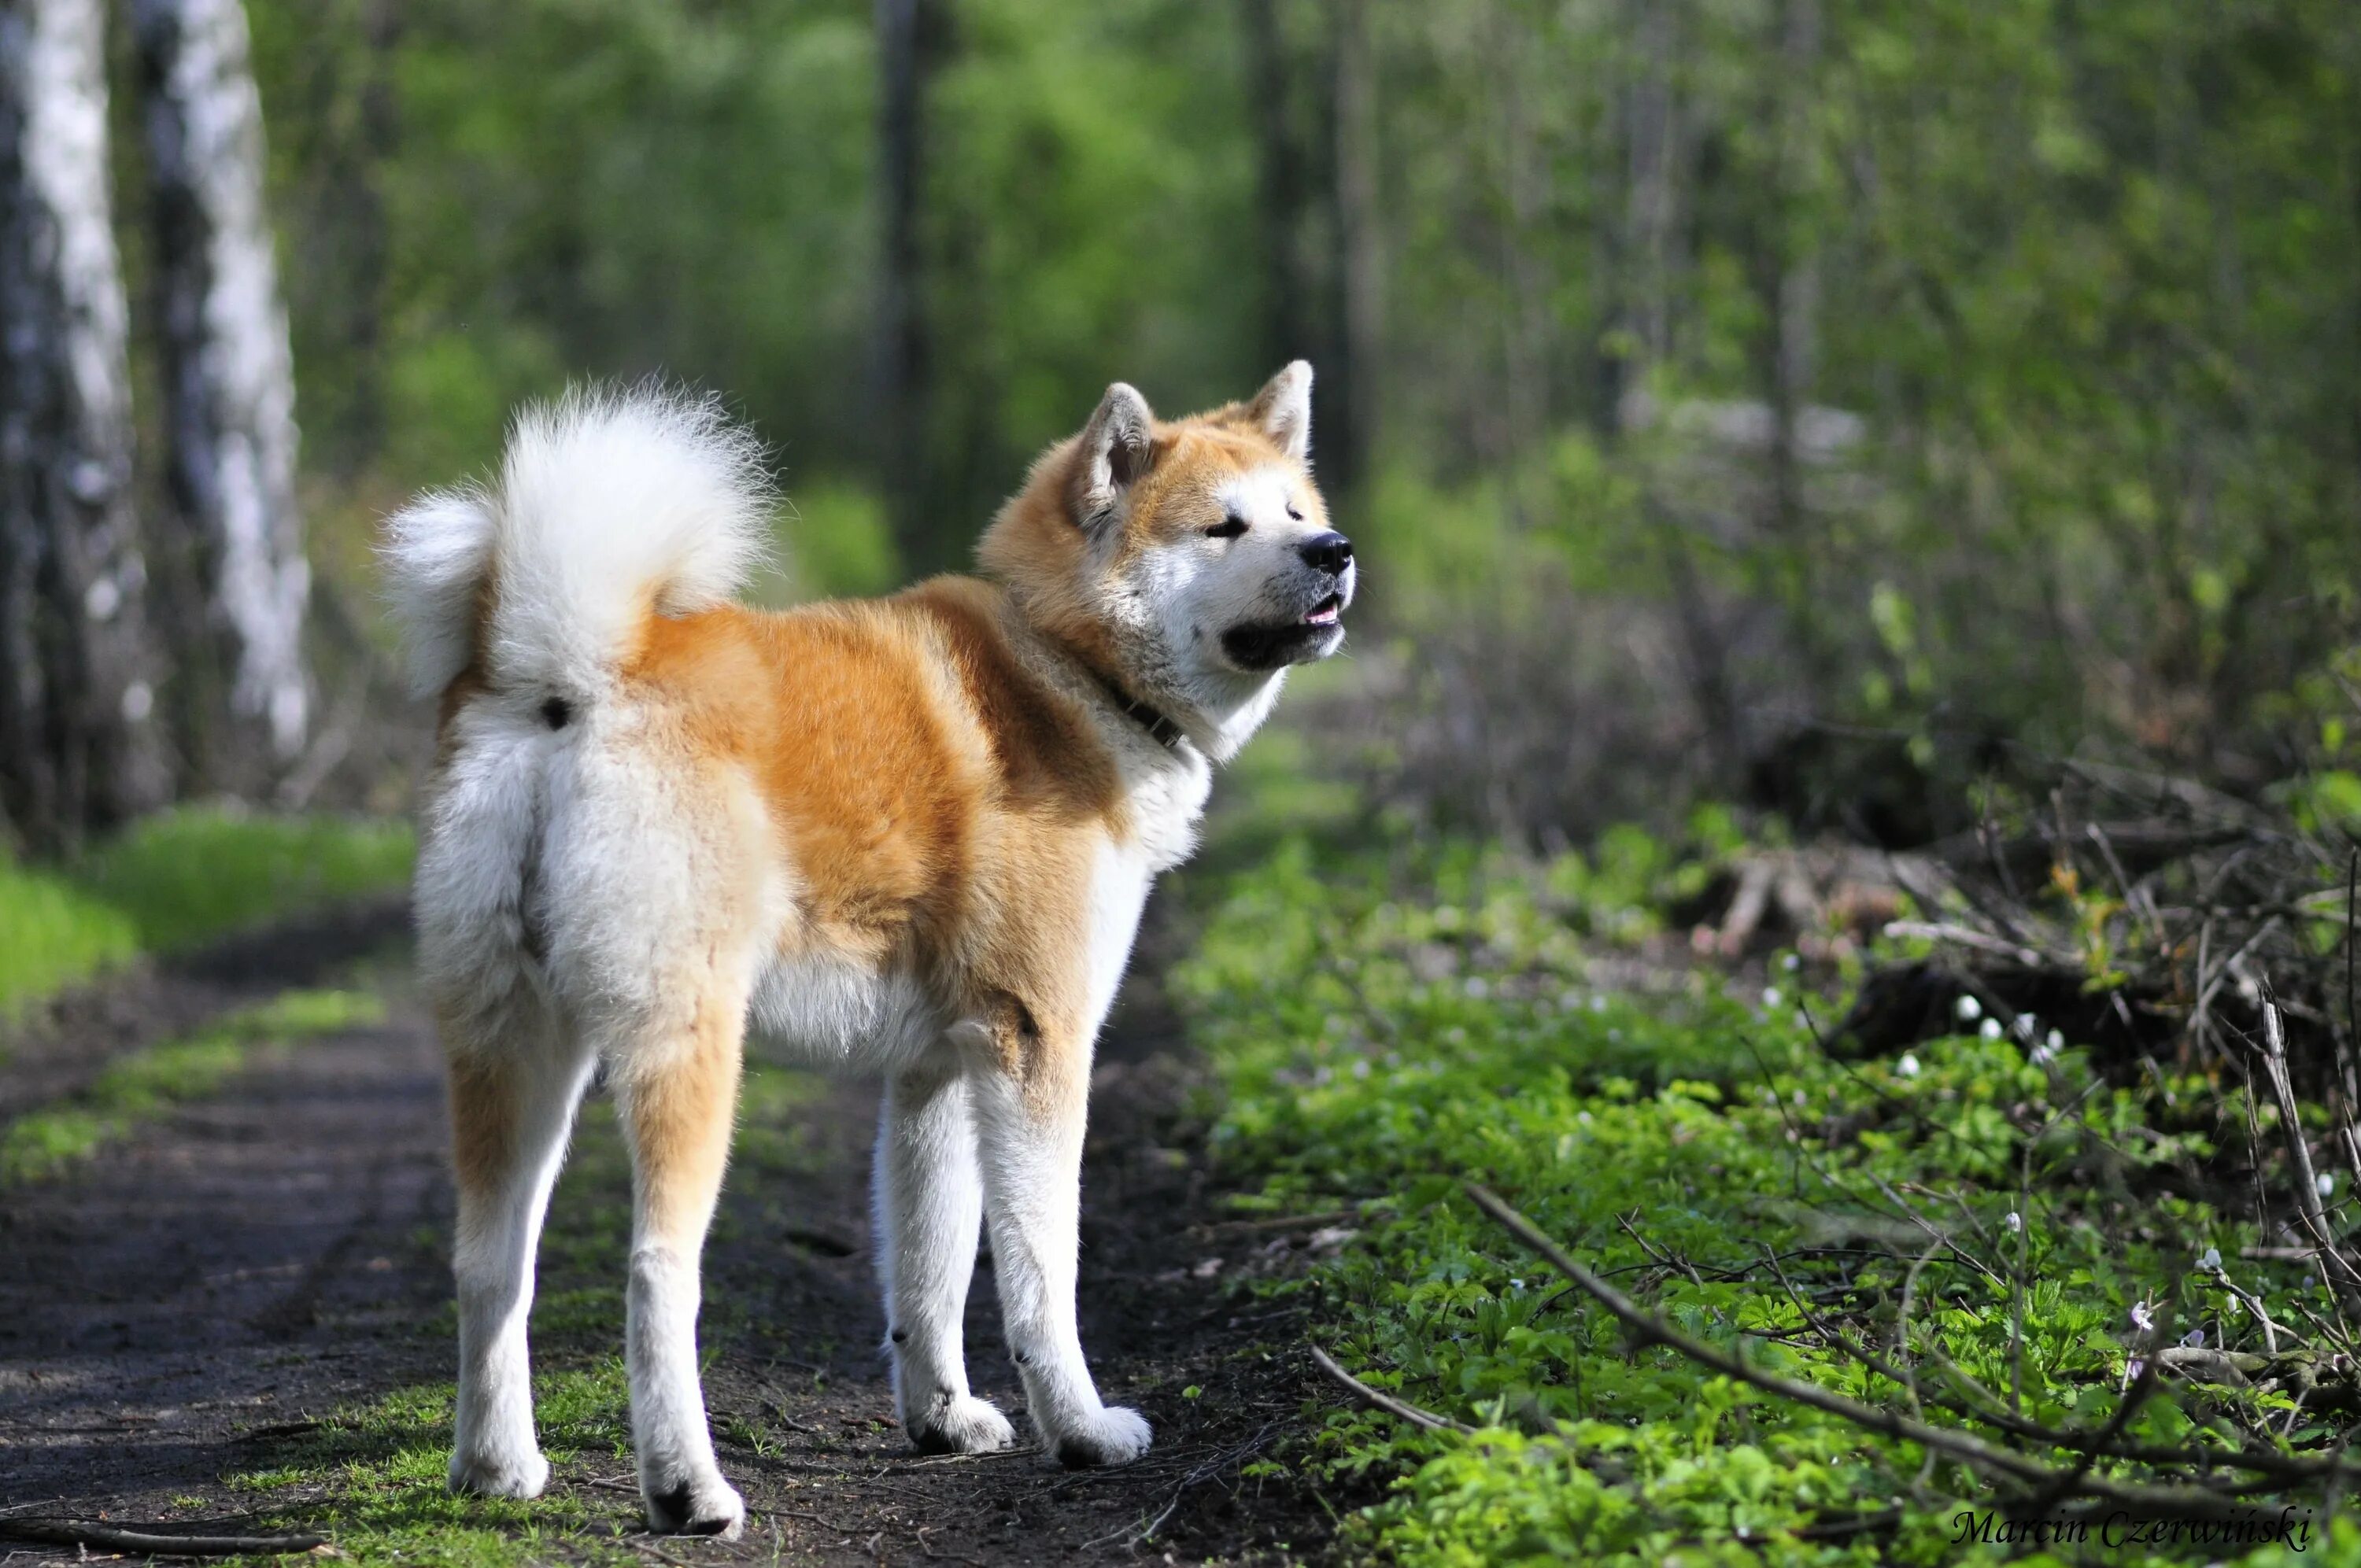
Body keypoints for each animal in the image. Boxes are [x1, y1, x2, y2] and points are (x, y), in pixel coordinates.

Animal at [380, 363, 1360, 1529]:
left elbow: (929, 1267)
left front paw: (942, 1417)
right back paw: (687, 1487)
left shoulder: (935, 1069)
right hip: (688, 1050)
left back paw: (497, 1467)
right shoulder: (1038, 1046)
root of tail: (569, 681)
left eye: (1297, 512)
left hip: (516, 1045)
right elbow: (1042, 1270)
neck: (1061, 666)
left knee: (488, 1263)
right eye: (1224, 527)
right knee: (658, 1271)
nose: (1334, 551)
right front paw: (1079, 1427)